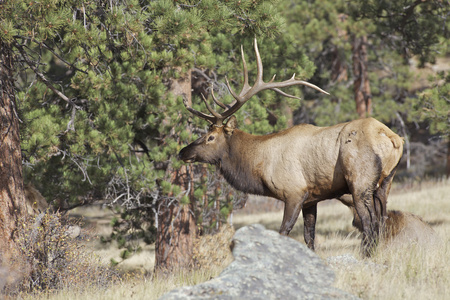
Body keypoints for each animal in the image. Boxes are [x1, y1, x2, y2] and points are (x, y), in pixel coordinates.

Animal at [178, 38, 402, 255]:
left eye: (210, 137)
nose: (182, 152)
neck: (258, 165)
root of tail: (394, 138)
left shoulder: (294, 192)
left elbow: (284, 232)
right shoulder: (312, 199)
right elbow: (309, 238)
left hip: (360, 182)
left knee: (369, 222)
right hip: (385, 183)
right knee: (382, 219)